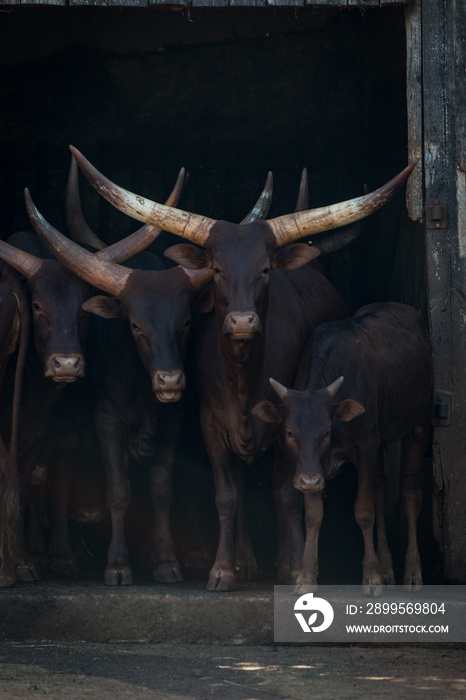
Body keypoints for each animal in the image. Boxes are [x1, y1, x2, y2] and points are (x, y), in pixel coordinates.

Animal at [52, 149, 414, 592]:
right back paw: (243, 560)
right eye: (218, 271)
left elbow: (286, 493)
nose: (242, 321)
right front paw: (223, 568)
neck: (242, 377)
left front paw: (294, 567)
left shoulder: (285, 422)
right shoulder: (210, 423)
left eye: (265, 270)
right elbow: (226, 494)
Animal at [251, 300, 434, 596]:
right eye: (289, 432)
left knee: (410, 493)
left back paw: (412, 573)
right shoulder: (313, 466)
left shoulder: (367, 446)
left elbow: (364, 511)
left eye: (327, 430)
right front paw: (306, 577)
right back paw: (387, 567)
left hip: (420, 421)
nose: (308, 481)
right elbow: (314, 514)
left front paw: (370, 577)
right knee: (381, 490)